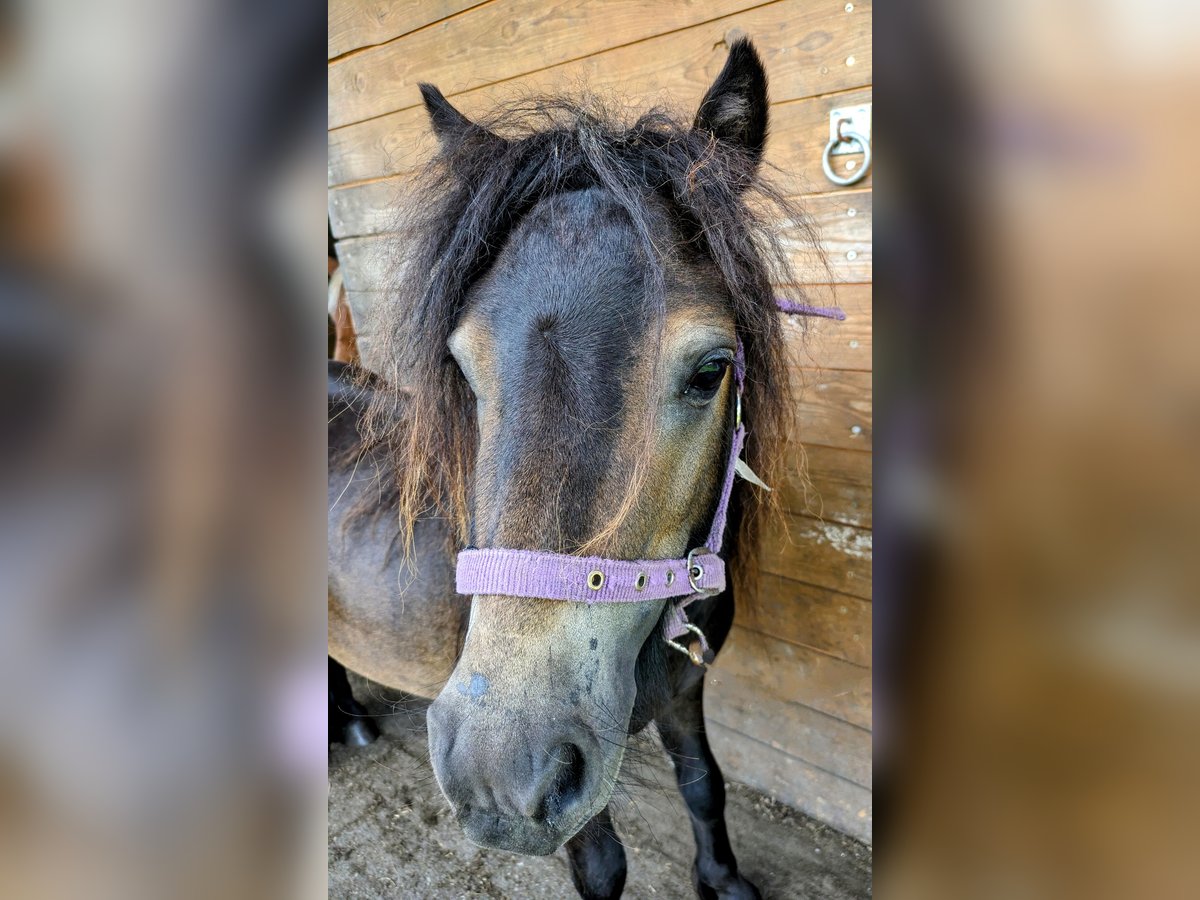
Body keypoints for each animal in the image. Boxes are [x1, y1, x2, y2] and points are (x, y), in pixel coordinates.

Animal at [328, 40, 816, 900]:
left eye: (712, 369)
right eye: (464, 371)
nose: (496, 766)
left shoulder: (687, 691)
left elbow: (705, 783)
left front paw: (723, 880)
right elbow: (603, 866)